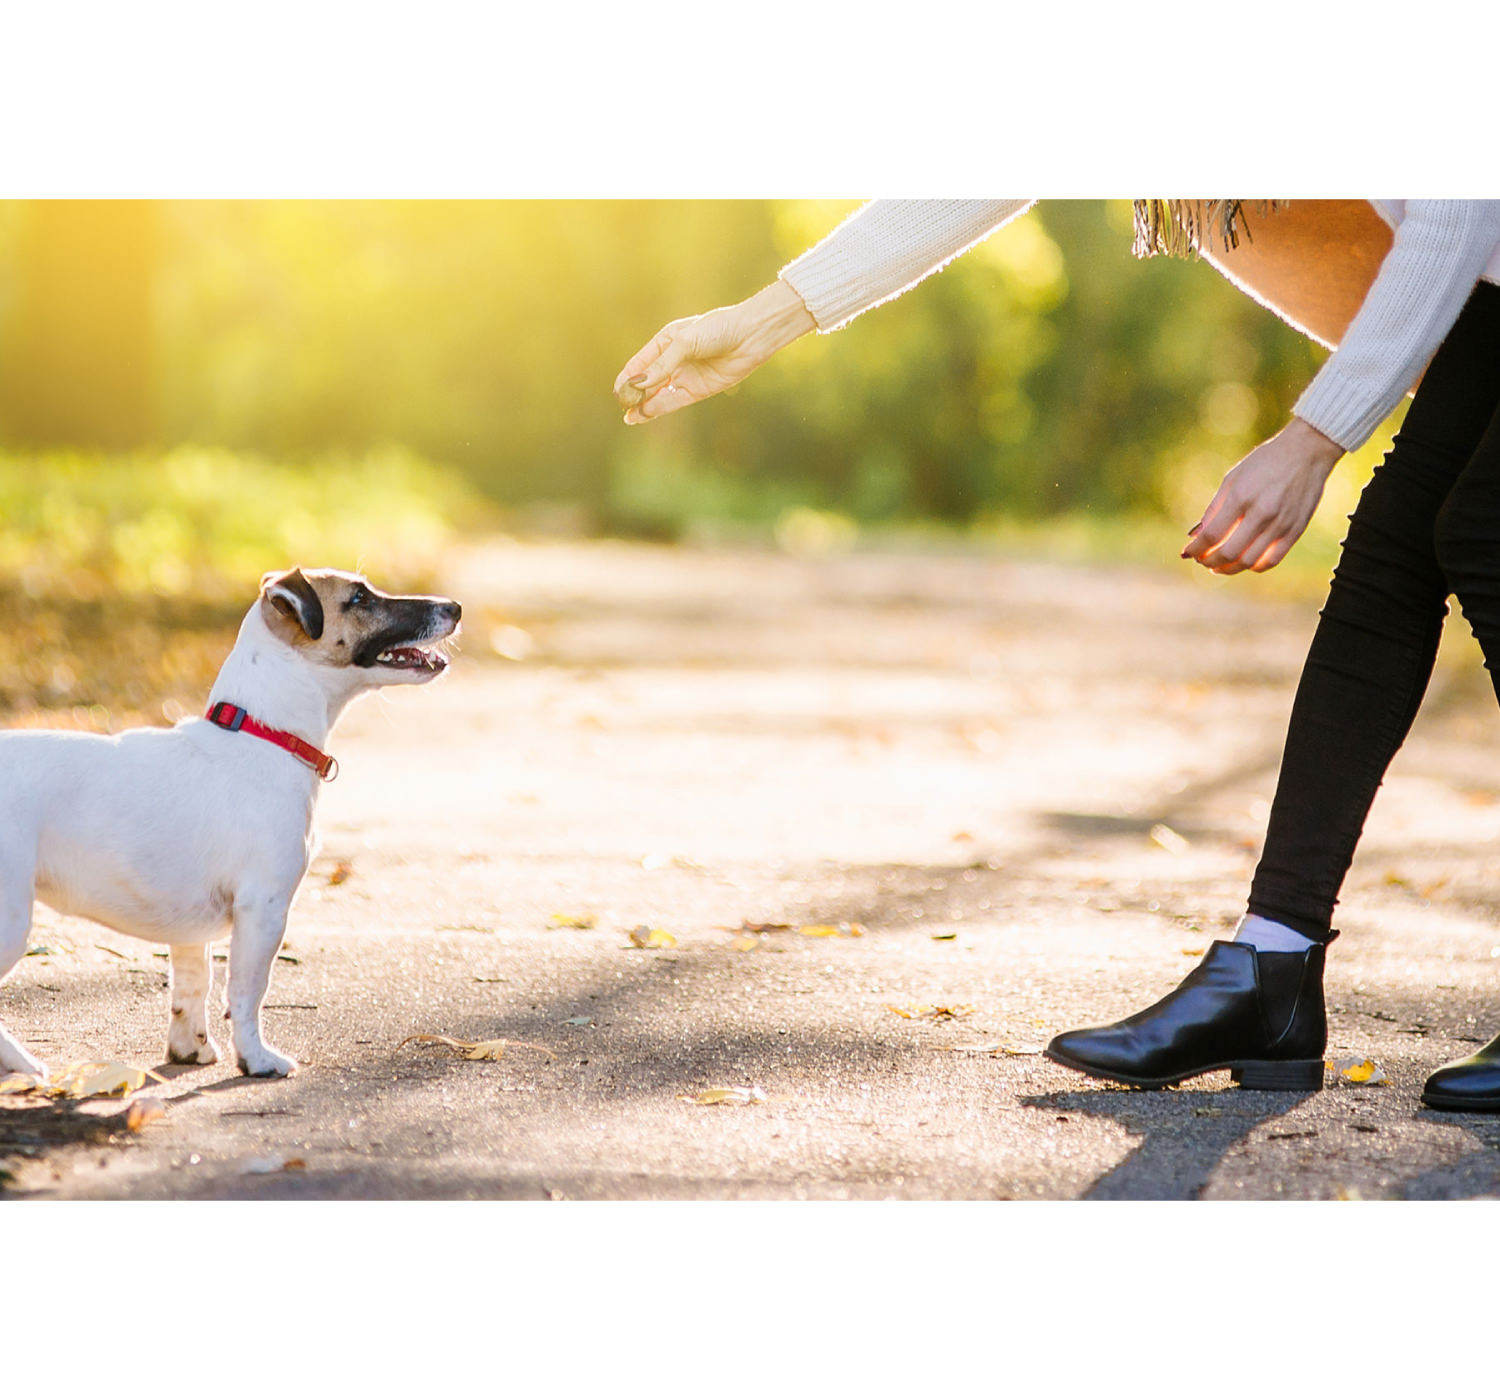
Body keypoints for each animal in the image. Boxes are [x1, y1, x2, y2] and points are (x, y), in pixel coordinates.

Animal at [0, 567, 456, 1080]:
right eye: (359, 598)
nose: (455, 608)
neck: (264, 735)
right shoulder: (264, 908)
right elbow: (247, 992)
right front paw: (255, 1058)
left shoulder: (190, 932)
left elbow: (193, 985)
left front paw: (190, 1049)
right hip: (10, 919)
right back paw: (24, 1064)